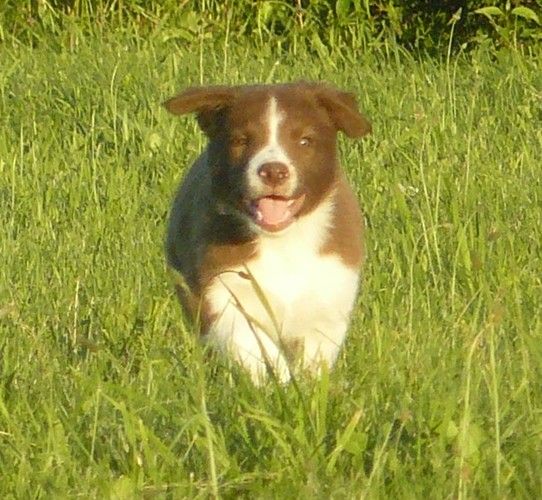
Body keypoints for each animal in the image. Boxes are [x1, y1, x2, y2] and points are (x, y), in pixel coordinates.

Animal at [164, 82, 371, 384]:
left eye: (305, 141)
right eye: (241, 141)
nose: (273, 171)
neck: (282, 242)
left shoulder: (331, 288)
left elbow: (315, 353)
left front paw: (305, 386)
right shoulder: (218, 287)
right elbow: (249, 342)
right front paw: (275, 381)